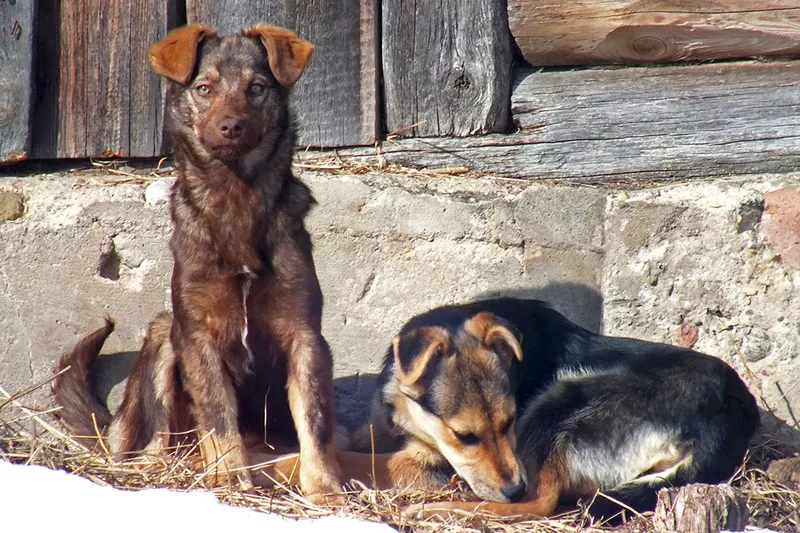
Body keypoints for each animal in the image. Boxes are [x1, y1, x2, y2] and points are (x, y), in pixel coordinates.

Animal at [53, 23, 340, 498]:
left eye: (256, 89)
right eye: (204, 88)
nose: (231, 126)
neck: (235, 195)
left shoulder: (305, 335)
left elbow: (315, 420)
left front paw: (324, 487)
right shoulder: (198, 336)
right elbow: (219, 416)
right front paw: (229, 476)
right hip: (164, 336)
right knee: (150, 441)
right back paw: (159, 468)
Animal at [354, 298, 760, 516]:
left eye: (509, 422)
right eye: (464, 436)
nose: (513, 487)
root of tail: (727, 421)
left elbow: (386, 462)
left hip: (560, 402)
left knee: (539, 504)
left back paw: (436, 510)